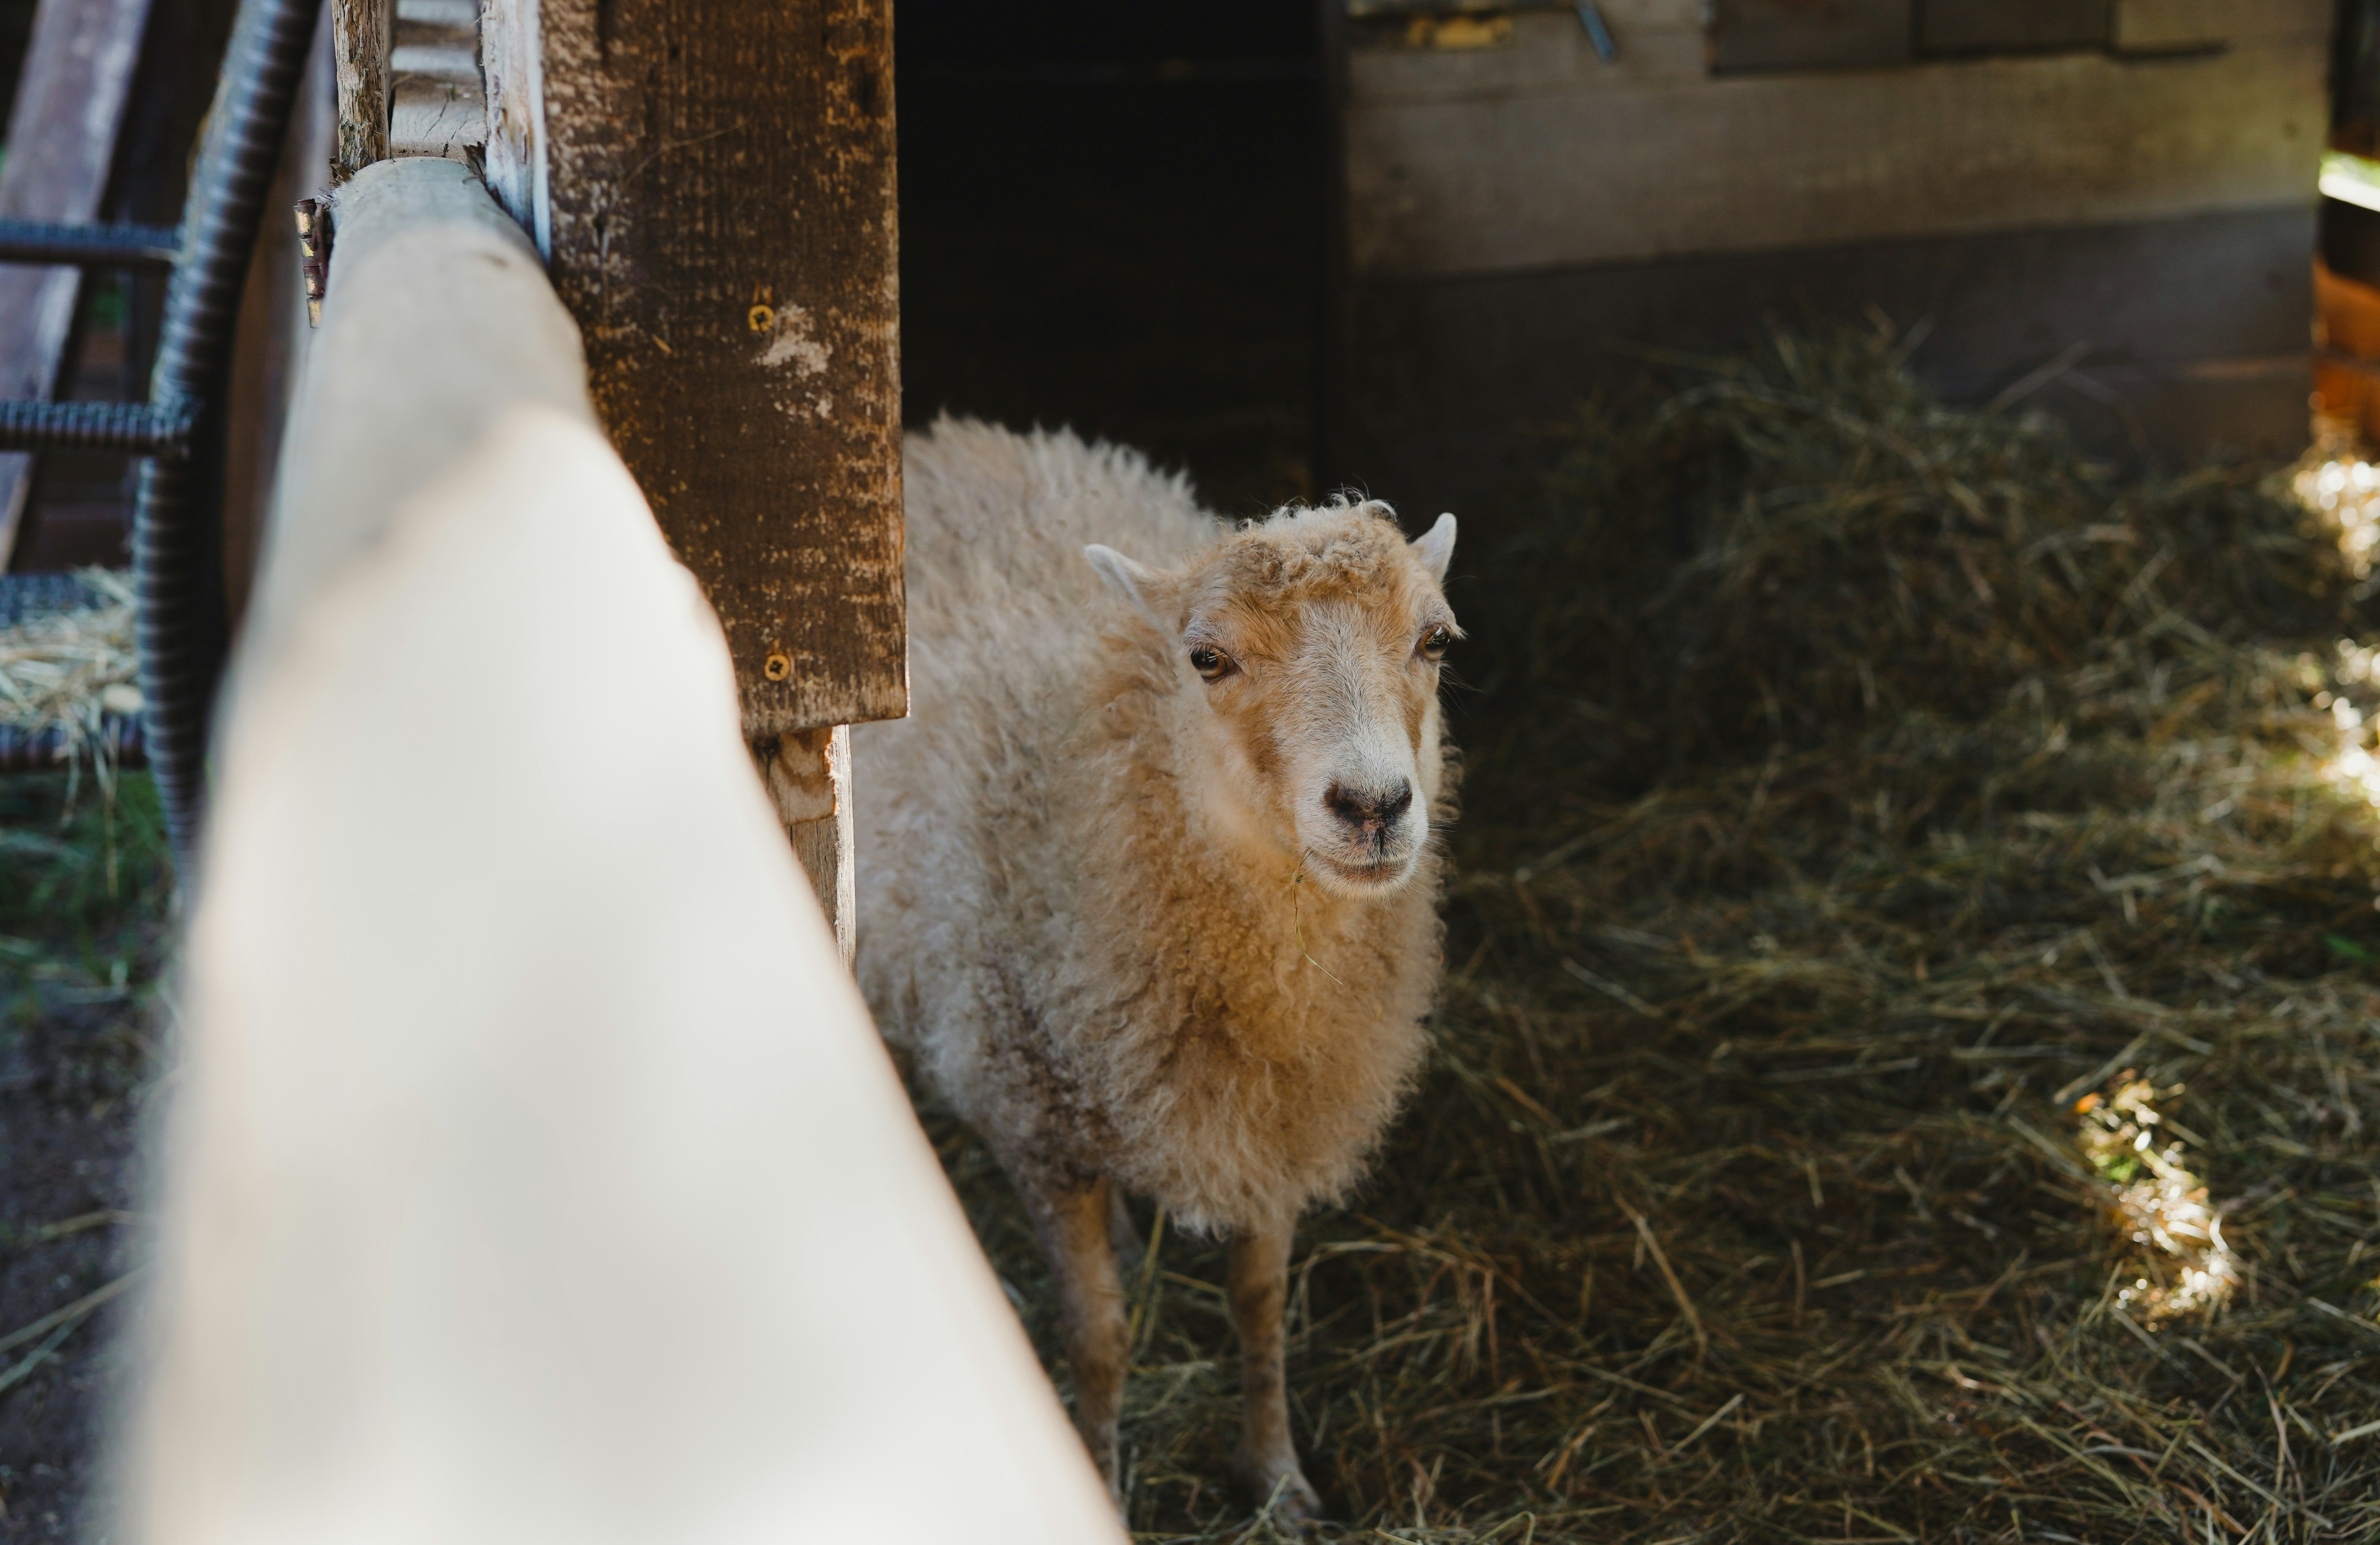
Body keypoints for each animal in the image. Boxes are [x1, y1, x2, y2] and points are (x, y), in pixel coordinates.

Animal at [855, 418, 1459, 1521]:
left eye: (1434, 640)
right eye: (1207, 657)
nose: (1372, 805)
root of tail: (943, 440)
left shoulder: (1276, 1119)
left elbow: (1258, 1303)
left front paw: (1277, 1478)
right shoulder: (1033, 1123)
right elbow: (1095, 1340)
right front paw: (1094, 1479)